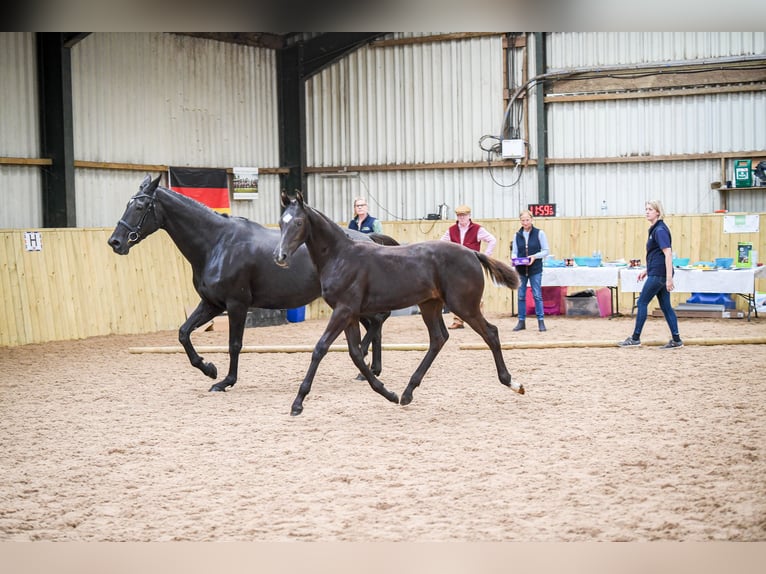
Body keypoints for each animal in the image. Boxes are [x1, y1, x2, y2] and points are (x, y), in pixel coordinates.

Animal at [272, 191, 524, 416]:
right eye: (281, 222)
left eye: (298, 222)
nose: (279, 256)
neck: (340, 257)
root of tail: (472, 254)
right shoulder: (349, 314)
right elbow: (355, 353)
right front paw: (388, 393)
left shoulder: (344, 311)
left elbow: (321, 348)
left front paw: (298, 403)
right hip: (430, 304)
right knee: (438, 338)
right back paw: (407, 392)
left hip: (464, 306)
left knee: (490, 333)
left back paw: (513, 383)